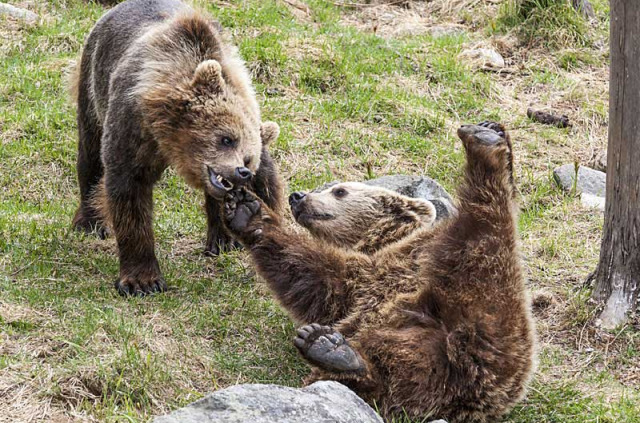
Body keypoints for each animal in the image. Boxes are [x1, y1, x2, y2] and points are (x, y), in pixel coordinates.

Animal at [220, 121, 536, 422]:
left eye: (340, 190)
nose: (298, 196)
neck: (384, 241)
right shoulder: (357, 290)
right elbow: (313, 283)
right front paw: (246, 210)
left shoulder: (390, 266)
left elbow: (319, 270)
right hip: (425, 366)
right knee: (391, 377)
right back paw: (332, 350)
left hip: (491, 304)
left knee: (485, 233)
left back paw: (485, 146)